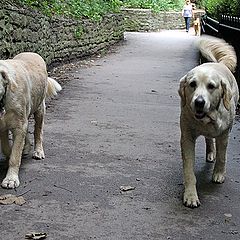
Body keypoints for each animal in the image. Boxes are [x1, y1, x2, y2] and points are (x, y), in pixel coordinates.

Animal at [0, 52, 61, 189]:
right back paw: (26, 146)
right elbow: (7, 148)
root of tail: (32, 53)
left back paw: (38, 151)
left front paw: (11, 179)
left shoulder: (19, 125)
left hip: (39, 109)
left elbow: (14, 156)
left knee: (38, 132)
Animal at [179, 36, 239, 208]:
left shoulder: (224, 134)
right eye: (192, 84)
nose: (199, 102)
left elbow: (222, 156)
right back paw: (210, 152)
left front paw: (218, 174)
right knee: (208, 139)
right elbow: (189, 170)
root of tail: (219, 64)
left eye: (211, 86)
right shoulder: (186, 138)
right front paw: (190, 195)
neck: (206, 119)